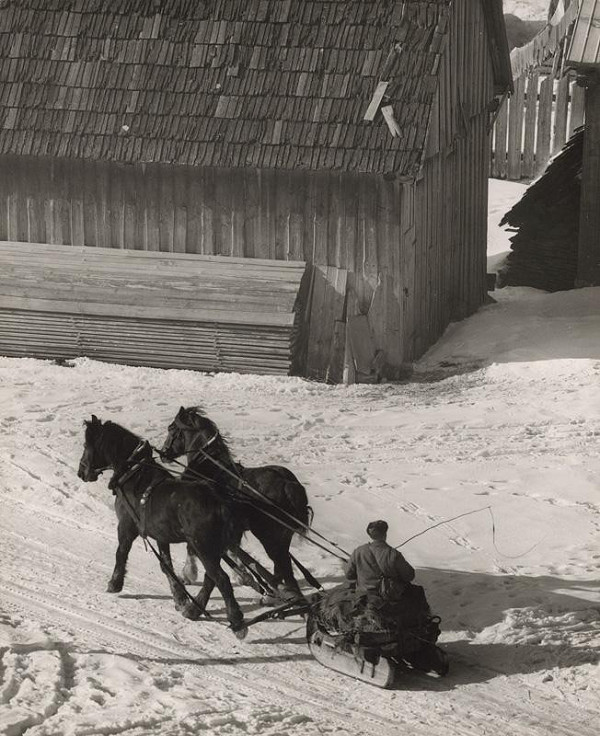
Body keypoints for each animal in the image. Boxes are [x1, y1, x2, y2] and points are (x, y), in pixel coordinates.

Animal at [77, 416, 246, 636]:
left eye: (86, 445)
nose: (81, 472)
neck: (135, 476)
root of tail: (218, 501)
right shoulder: (161, 537)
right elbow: (167, 567)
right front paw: (180, 599)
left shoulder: (126, 527)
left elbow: (121, 553)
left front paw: (114, 584)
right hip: (212, 549)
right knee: (211, 578)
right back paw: (194, 610)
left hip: (203, 547)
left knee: (221, 579)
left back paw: (236, 621)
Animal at [162, 406, 314, 600]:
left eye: (171, 428)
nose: (164, 453)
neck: (209, 467)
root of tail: (288, 483)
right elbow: (233, 549)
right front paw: (242, 575)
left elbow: (193, 549)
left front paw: (188, 574)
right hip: (282, 538)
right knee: (281, 567)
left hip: (269, 538)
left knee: (284, 569)